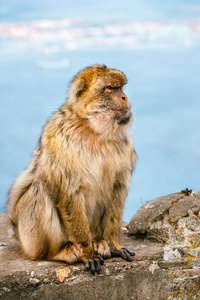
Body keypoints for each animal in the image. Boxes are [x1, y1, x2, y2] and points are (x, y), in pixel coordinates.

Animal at [7, 65, 137, 274]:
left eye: (120, 88)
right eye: (110, 88)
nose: (125, 97)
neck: (93, 129)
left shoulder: (126, 144)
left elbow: (118, 189)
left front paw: (114, 244)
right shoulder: (59, 137)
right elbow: (69, 193)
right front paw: (87, 252)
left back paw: (99, 242)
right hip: (28, 239)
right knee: (38, 189)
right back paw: (59, 252)